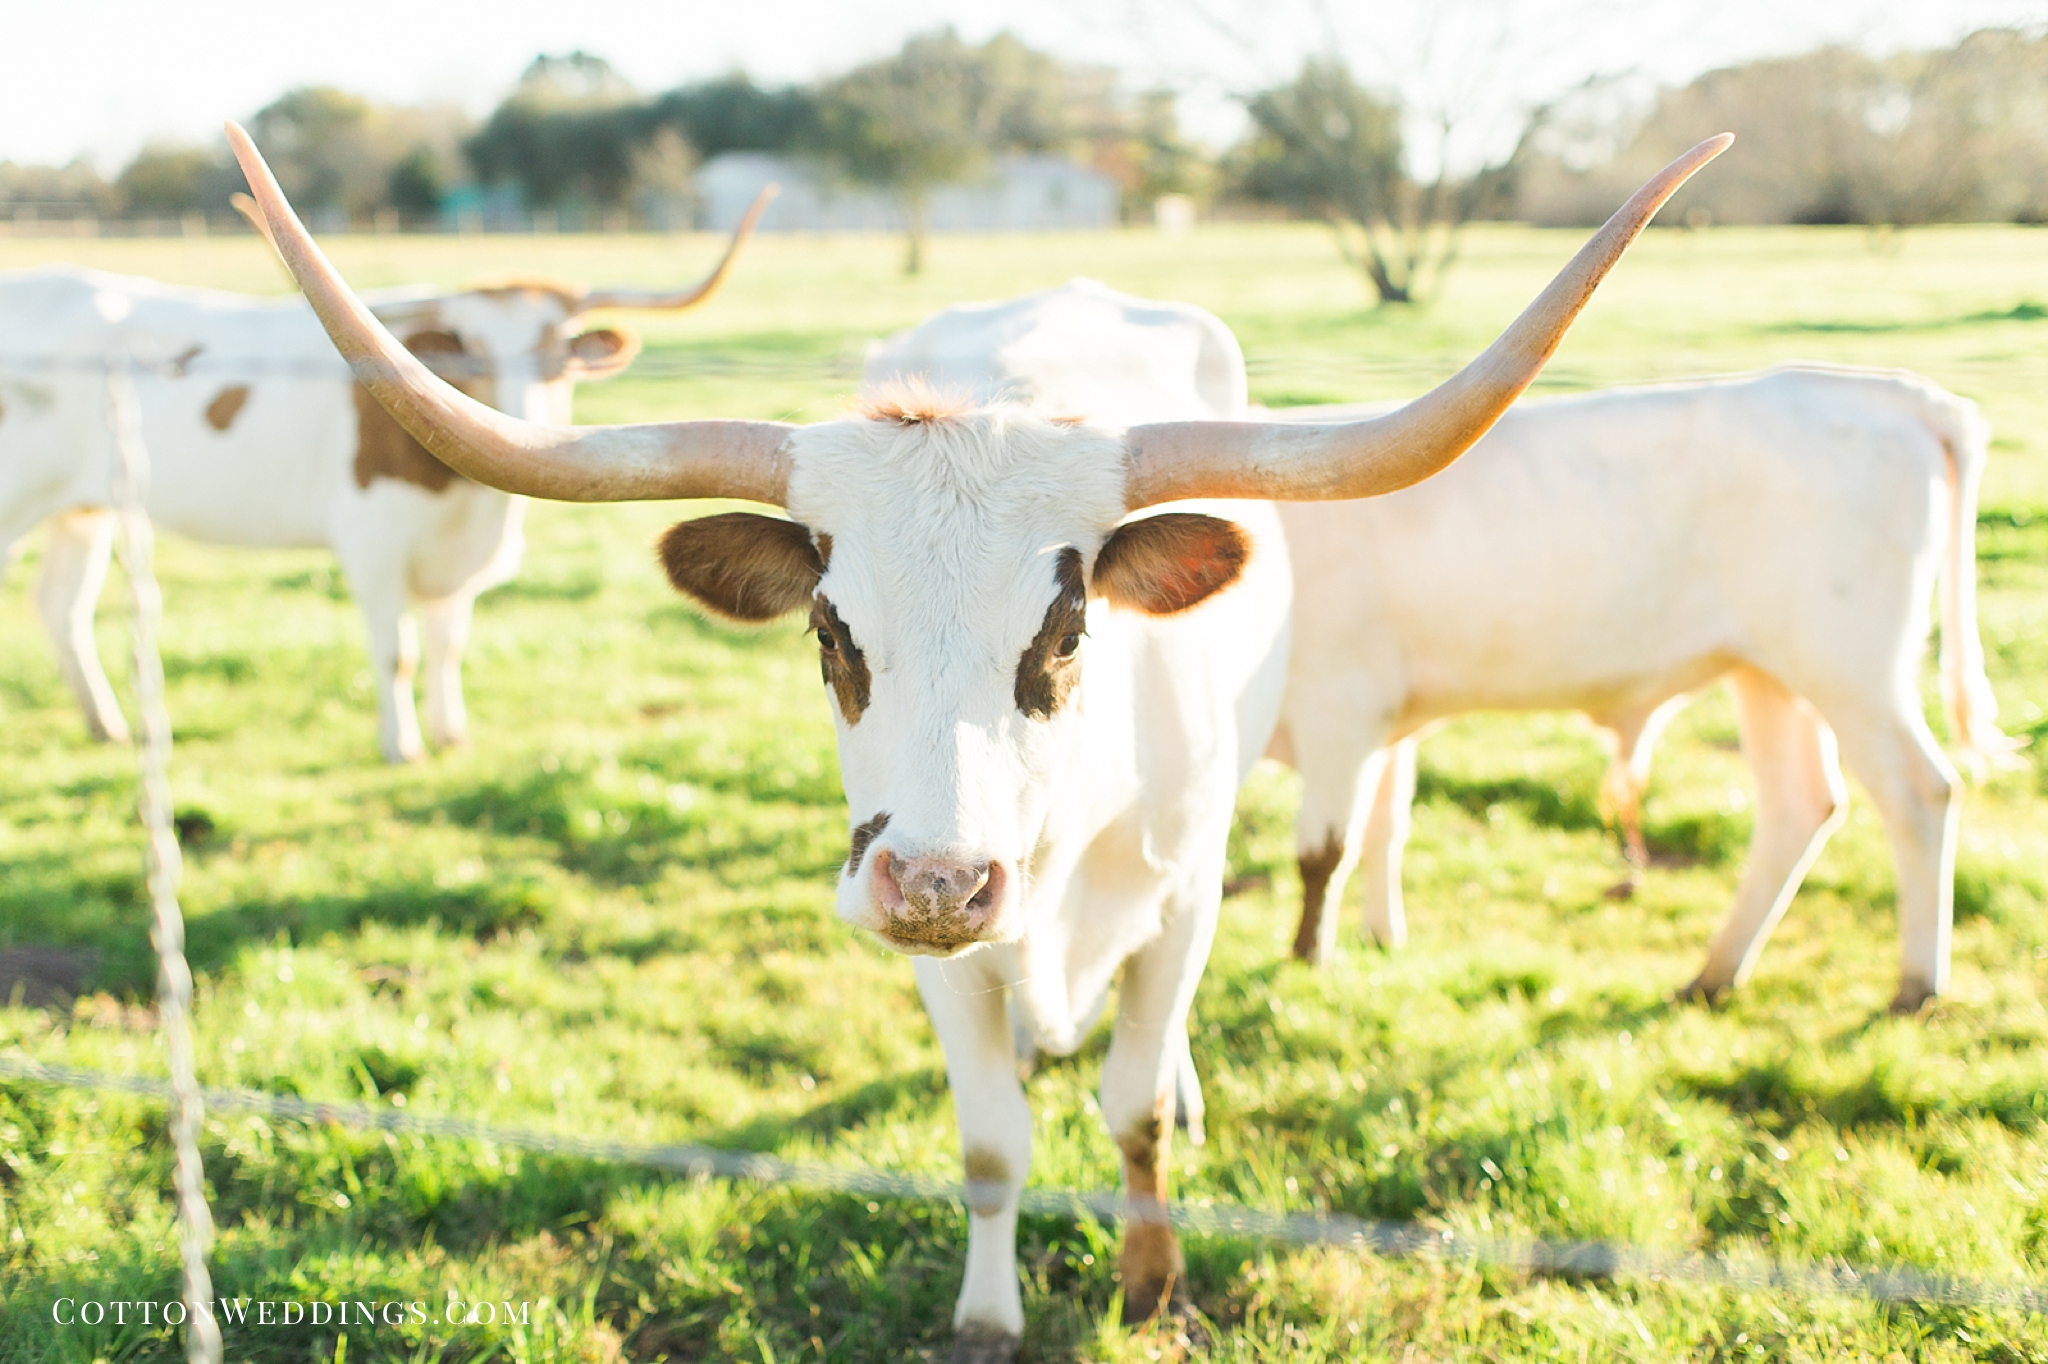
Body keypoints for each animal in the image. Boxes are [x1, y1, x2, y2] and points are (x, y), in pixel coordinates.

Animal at [0, 187, 771, 762]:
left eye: (560, 355)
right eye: (470, 354)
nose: (526, 413)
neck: (469, 501)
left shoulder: (454, 564)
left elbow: (447, 645)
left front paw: (452, 734)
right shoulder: (373, 547)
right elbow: (395, 652)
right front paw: (403, 746)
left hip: (83, 511)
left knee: (61, 607)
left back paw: (107, 726)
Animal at [227, 121, 1730, 1360]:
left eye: (1065, 629)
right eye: (830, 632)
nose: (946, 881)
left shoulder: (1182, 890)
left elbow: (1131, 1107)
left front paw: (1154, 1287)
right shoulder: (917, 938)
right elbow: (992, 1143)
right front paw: (988, 1317)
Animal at [1264, 368, 2018, 1014]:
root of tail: (1880, 390)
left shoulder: (1341, 708)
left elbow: (1324, 853)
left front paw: (1307, 961)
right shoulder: (1387, 723)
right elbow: (1386, 830)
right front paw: (1381, 940)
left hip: (1850, 669)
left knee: (1919, 794)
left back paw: (1916, 984)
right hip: (1768, 673)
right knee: (1799, 805)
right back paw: (1714, 975)